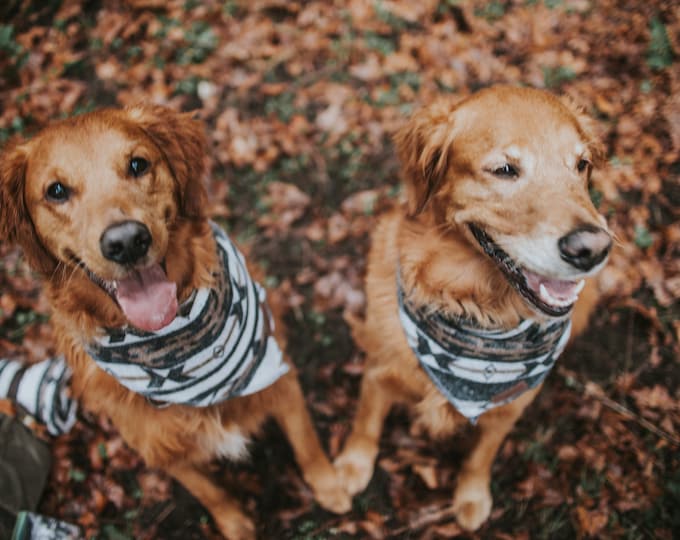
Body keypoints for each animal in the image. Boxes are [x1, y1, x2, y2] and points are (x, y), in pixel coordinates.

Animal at [0, 105, 350, 540]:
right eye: (56, 191)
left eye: (138, 164)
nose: (126, 241)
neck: (170, 345)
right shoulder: (160, 448)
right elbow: (209, 492)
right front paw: (236, 525)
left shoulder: (281, 378)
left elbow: (306, 442)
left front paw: (330, 486)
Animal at [334, 87, 612, 532]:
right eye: (504, 170)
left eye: (581, 164)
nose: (593, 248)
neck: (474, 309)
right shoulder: (379, 367)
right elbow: (366, 420)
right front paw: (350, 466)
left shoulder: (510, 407)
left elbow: (481, 454)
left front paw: (471, 496)